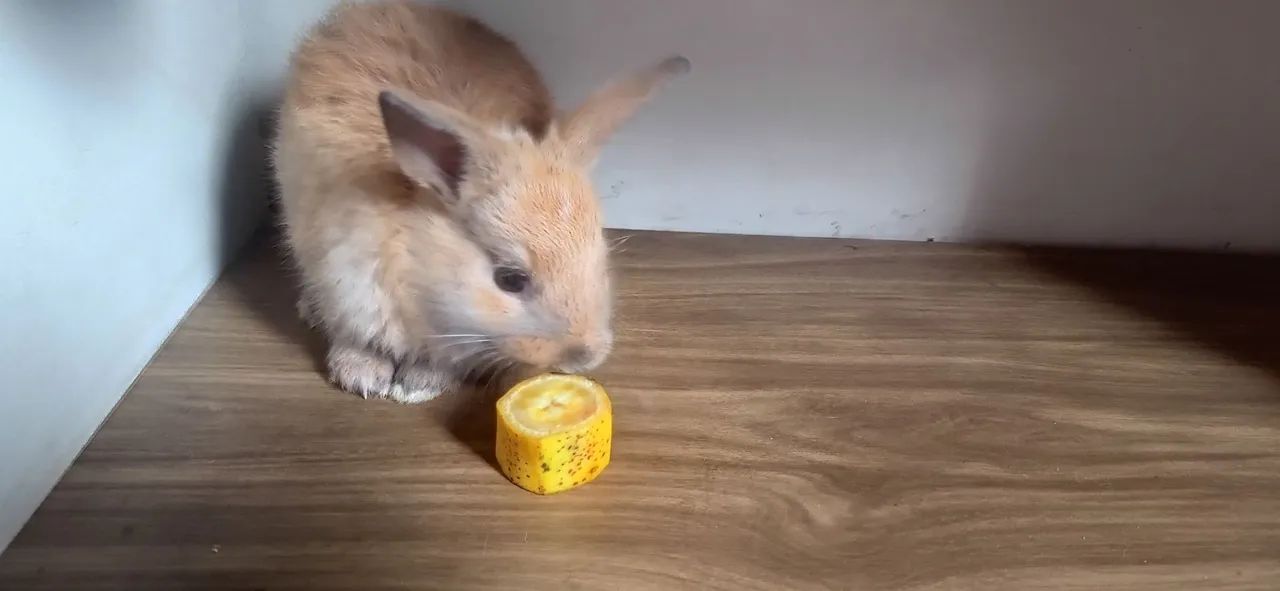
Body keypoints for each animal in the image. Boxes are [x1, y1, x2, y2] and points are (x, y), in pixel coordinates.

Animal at [271, 0, 688, 403]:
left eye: (600, 257)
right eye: (510, 279)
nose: (586, 355)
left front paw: (419, 384)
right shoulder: (346, 283)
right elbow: (355, 337)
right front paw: (362, 376)